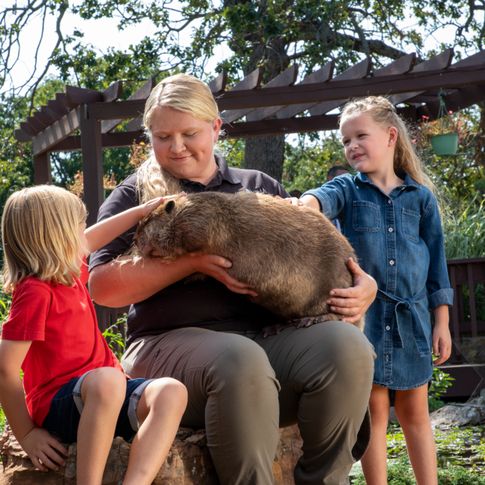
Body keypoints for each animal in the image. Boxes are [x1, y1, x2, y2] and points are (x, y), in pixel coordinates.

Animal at [134, 191, 362, 330]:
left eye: (147, 221)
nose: (136, 240)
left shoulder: (201, 218)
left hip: (336, 287)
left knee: (340, 316)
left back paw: (311, 319)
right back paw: (275, 327)